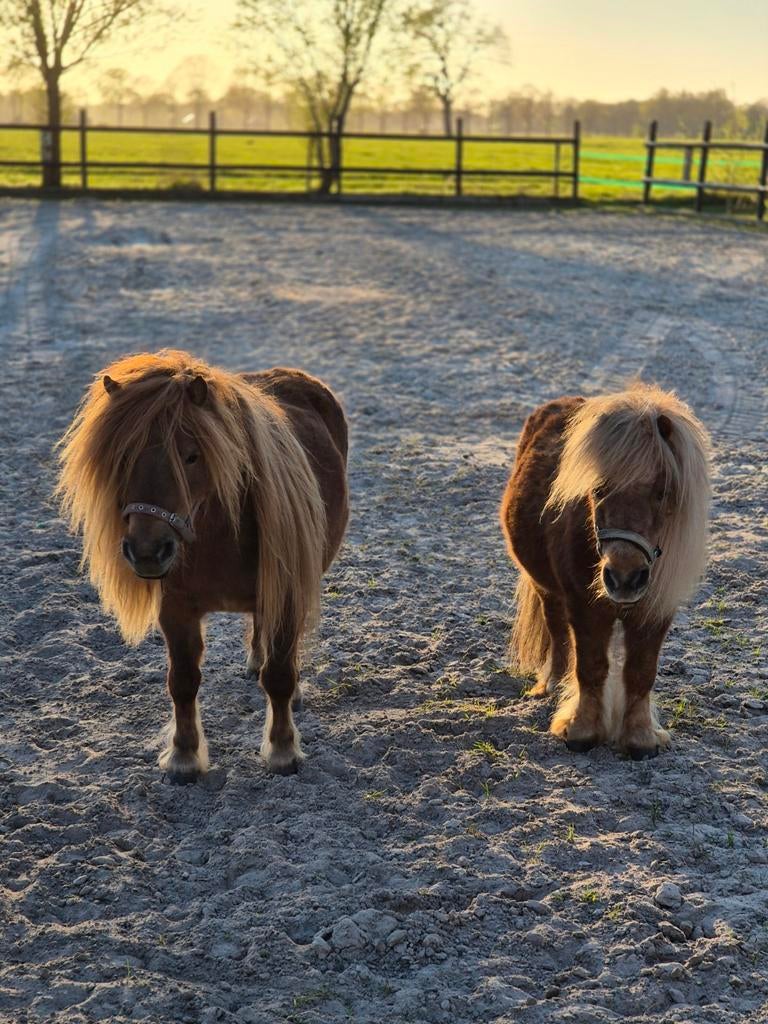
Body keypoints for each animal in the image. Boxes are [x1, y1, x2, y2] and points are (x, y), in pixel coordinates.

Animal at [57, 350, 348, 780]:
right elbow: (182, 681)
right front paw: (184, 756)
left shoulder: (286, 592)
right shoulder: (176, 608)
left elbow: (279, 675)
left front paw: (282, 751)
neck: (217, 537)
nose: (148, 551)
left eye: (192, 456)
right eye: (122, 458)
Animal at [500, 384, 710, 759]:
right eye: (598, 489)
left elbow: (641, 672)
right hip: (547, 589)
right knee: (557, 631)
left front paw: (641, 738)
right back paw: (552, 685)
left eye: (663, 491)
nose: (624, 578)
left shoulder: (656, 611)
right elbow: (591, 666)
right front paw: (580, 730)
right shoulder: (585, 607)